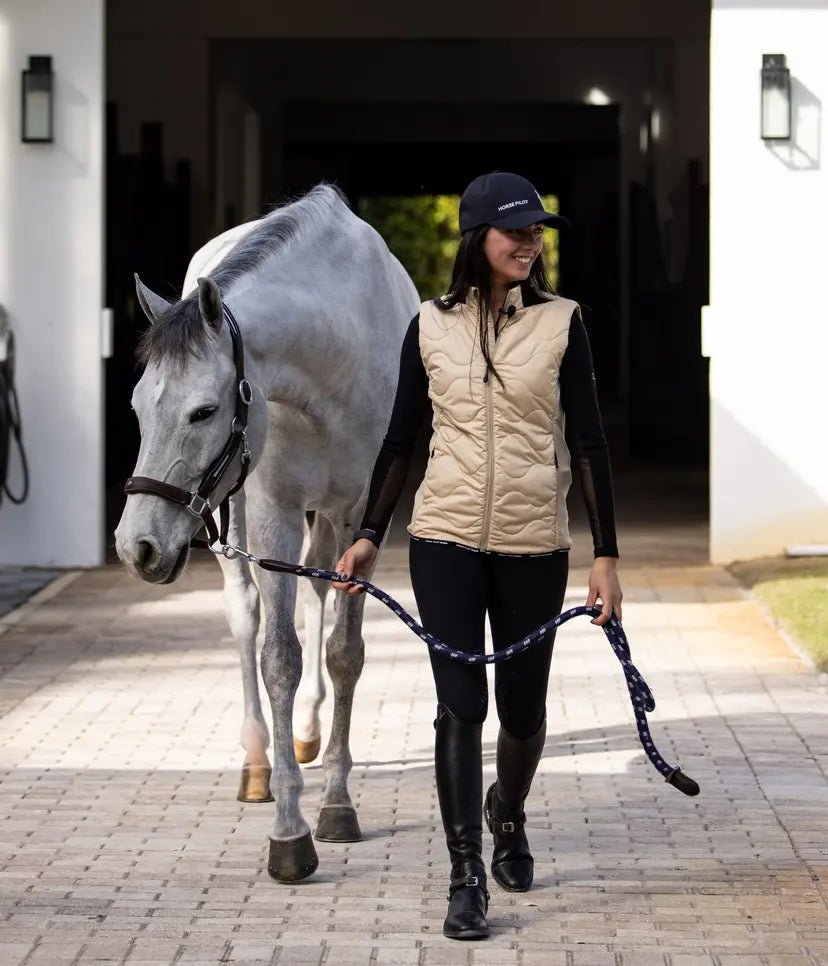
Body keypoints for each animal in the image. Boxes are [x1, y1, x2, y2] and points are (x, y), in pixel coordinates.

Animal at [114, 185, 419, 881]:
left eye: (203, 411)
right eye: (138, 406)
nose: (136, 547)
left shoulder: (365, 515)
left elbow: (344, 653)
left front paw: (336, 805)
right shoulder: (273, 510)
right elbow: (278, 655)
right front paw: (290, 832)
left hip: (323, 521)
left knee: (316, 593)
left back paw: (305, 736)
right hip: (235, 517)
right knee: (245, 615)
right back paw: (258, 763)